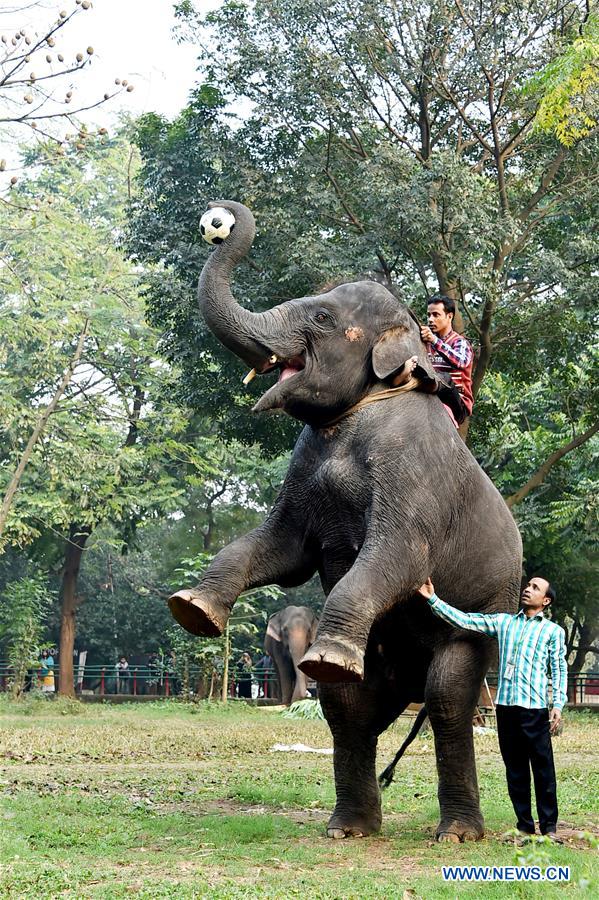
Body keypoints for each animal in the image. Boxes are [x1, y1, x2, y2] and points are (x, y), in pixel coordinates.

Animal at [166, 202, 524, 844]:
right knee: (350, 707)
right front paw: (193, 610)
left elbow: (398, 554)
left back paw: (456, 833)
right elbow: (284, 548)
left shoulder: (411, 468)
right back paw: (350, 827)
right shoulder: (304, 468)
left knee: (447, 698)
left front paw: (325, 655)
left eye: (322, 315)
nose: (220, 221)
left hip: (487, 616)